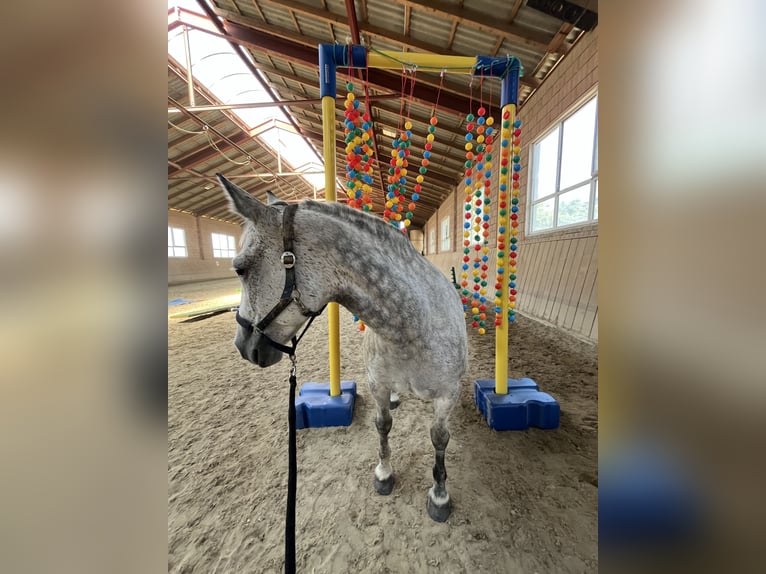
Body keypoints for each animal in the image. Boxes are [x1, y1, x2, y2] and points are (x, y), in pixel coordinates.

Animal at [217, 174, 468, 522]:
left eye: (240, 268)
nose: (243, 346)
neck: (413, 327)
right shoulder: (377, 386)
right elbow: (383, 426)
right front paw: (384, 473)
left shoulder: (446, 397)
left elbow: (439, 439)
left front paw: (440, 495)